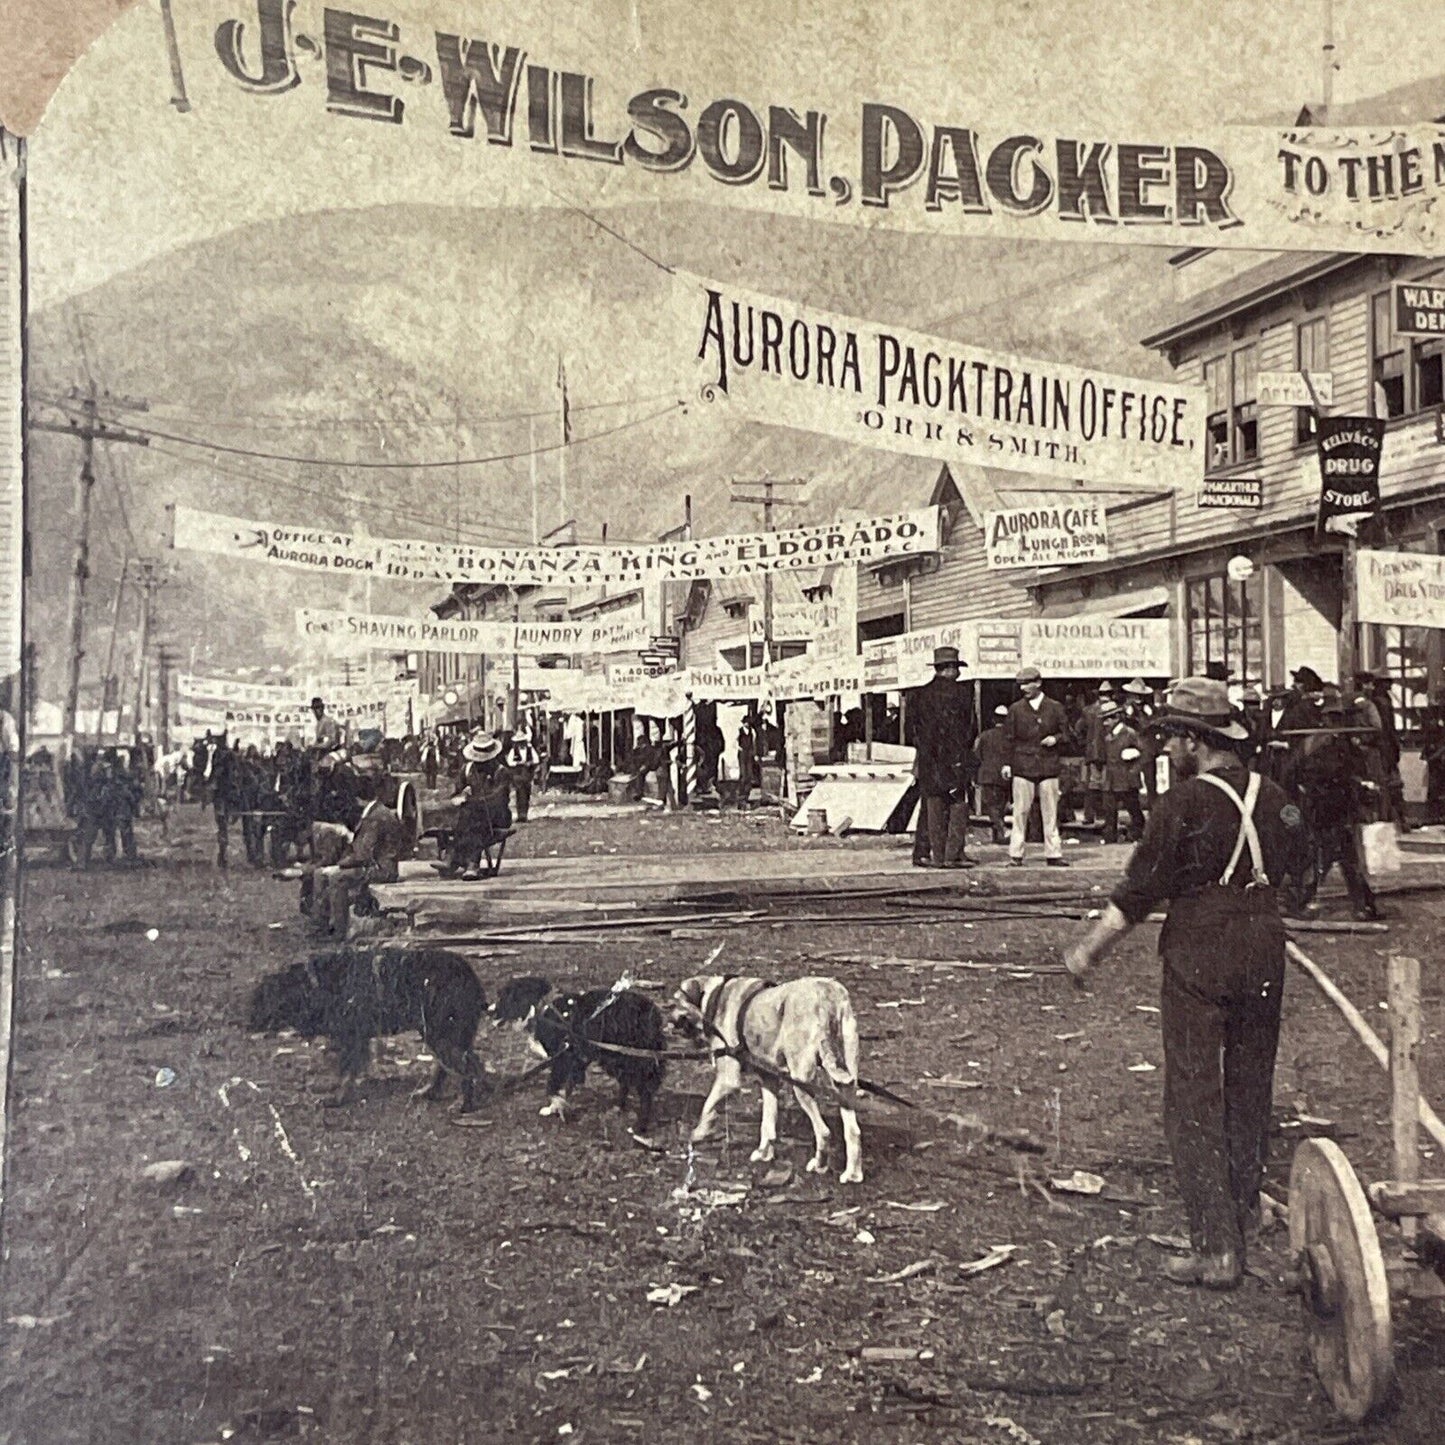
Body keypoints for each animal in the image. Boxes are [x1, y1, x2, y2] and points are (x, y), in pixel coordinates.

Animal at [248, 942, 491, 1109]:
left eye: (262, 1000)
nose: (246, 1023)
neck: (316, 984)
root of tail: (471, 978)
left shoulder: (352, 1038)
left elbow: (346, 1071)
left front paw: (337, 1098)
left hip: (443, 1034)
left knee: (468, 1067)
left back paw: (464, 1104)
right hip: (442, 1033)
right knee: (451, 1066)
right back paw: (430, 1092)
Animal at [488, 976, 661, 1132]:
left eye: (502, 997)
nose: (489, 1011)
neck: (542, 1007)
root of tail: (651, 1012)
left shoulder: (564, 1057)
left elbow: (552, 1086)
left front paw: (556, 1106)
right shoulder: (575, 1057)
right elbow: (568, 1084)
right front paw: (561, 1105)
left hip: (632, 1061)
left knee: (644, 1092)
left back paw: (640, 1126)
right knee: (625, 1083)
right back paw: (619, 1107)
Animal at [673, 971, 861, 1184]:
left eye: (675, 1002)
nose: (670, 1023)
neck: (714, 995)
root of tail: (827, 997)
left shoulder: (728, 1080)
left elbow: (708, 1106)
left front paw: (699, 1132)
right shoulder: (769, 1079)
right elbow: (768, 1122)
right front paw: (764, 1152)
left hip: (801, 1083)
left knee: (824, 1132)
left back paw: (820, 1165)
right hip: (846, 1083)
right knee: (853, 1131)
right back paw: (853, 1174)